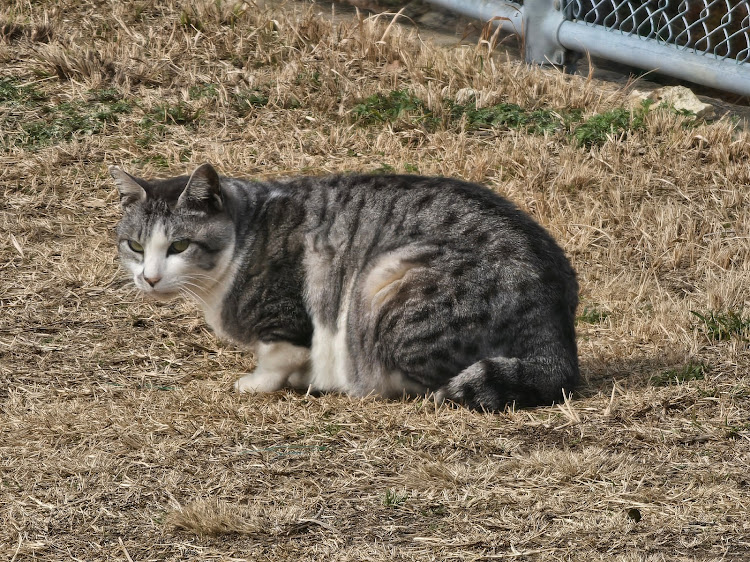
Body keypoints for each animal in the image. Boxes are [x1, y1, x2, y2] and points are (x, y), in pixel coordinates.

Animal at [111, 162, 580, 406]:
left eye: (179, 246)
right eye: (135, 245)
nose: (149, 278)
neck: (246, 233)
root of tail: (556, 337)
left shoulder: (287, 311)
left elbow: (278, 354)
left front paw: (260, 382)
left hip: (384, 280)